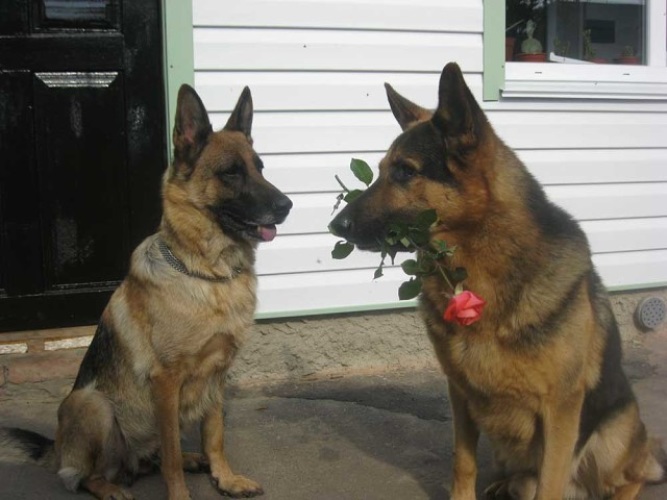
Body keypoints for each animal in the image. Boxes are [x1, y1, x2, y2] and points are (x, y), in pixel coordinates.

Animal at [0, 84, 292, 498]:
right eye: (231, 173)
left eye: (260, 168)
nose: (287, 206)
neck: (209, 273)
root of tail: (58, 450)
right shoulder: (166, 382)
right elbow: (171, 454)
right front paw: (181, 494)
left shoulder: (217, 375)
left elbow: (214, 434)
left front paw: (224, 477)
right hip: (92, 405)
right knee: (89, 474)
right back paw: (110, 487)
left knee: (149, 459)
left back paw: (191, 461)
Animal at [332, 63, 664, 500]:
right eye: (382, 172)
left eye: (405, 172)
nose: (335, 225)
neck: (475, 272)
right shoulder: (460, 395)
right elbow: (463, 462)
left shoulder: (561, 410)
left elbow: (550, 484)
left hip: (615, 432)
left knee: (633, 474)